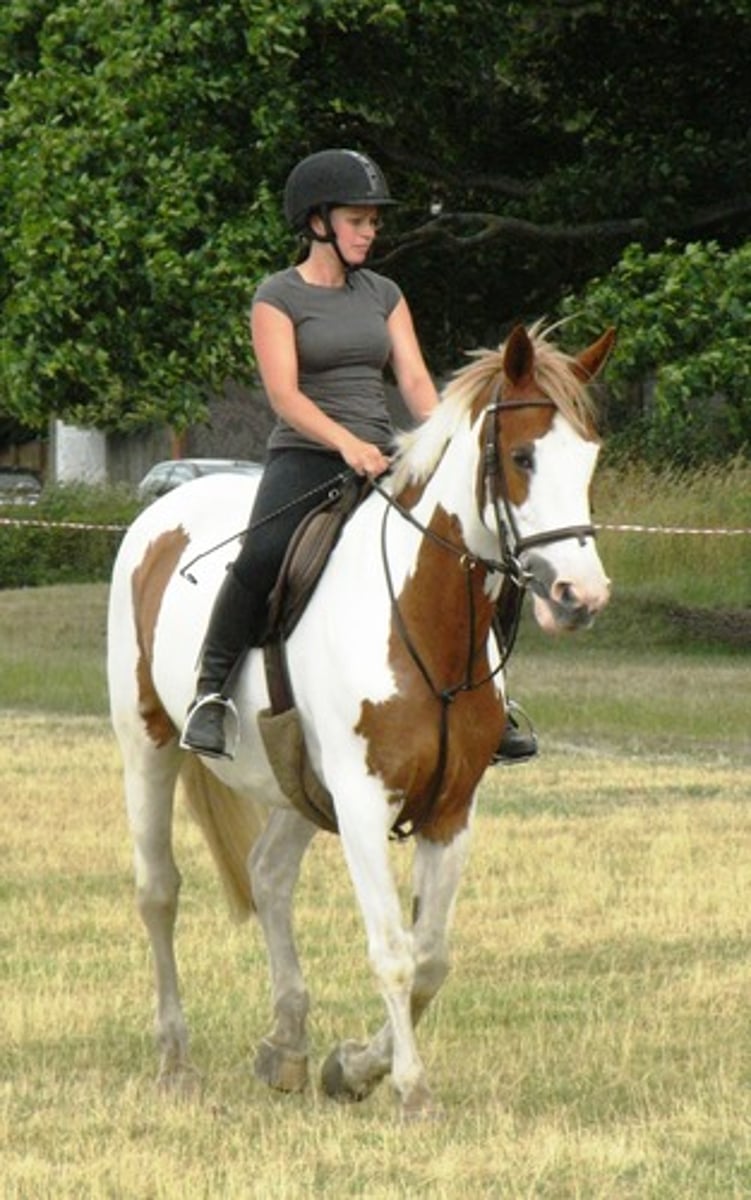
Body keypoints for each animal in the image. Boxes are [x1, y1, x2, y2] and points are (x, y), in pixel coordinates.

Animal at [107, 321, 614, 1119]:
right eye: (521, 456)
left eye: (589, 456)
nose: (580, 595)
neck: (420, 616)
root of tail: (162, 510)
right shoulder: (363, 799)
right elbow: (393, 952)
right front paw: (408, 1088)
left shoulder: (451, 808)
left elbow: (432, 956)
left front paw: (352, 1067)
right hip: (148, 746)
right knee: (158, 891)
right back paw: (175, 1060)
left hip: (296, 783)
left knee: (268, 875)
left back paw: (285, 1047)